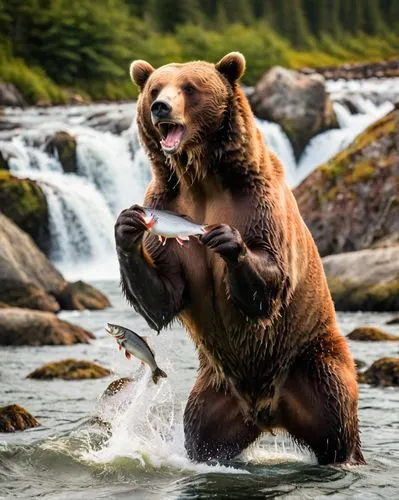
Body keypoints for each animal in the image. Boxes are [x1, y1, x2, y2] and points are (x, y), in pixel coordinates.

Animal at [115, 51, 366, 464]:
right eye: (154, 88)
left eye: (189, 87)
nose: (160, 107)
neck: (201, 178)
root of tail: (269, 411)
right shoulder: (167, 199)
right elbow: (165, 295)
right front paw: (126, 227)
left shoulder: (256, 200)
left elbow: (273, 275)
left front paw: (228, 242)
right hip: (215, 391)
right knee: (201, 432)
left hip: (311, 360)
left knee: (337, 422)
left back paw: (347, 456)